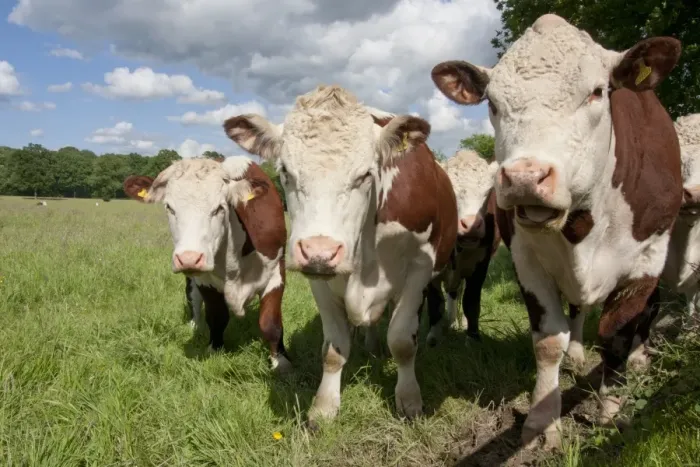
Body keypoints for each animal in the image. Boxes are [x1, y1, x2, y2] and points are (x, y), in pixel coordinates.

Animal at [123, 157, 291, 372]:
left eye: (219, 207)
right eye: (169, 207)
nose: (189, 258)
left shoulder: (276, 273)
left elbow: (270, 323)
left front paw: (281, 362)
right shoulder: (205, 280)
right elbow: (217, 317)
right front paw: (215, 350)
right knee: (193, 298)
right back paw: (195, 324)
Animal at [223, 84, 458, 426]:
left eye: (365, 175)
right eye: (285, 172)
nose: (320, 251)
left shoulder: (418, 269)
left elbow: (402, 341)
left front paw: (410, 400)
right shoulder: (319, 280)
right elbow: (333, 350)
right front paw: (324, 407)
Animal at [424, 149, 501, 346]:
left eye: (488, 192)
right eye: (449, 191)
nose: (471, 225)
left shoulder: (481, 266)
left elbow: (471, 301)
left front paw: (472, 337)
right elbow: (435, 302)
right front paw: (433, 337)